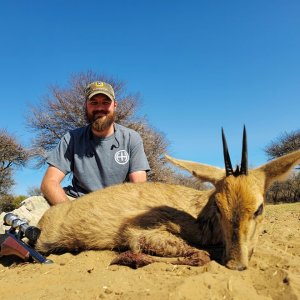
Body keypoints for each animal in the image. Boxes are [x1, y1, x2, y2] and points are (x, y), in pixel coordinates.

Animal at [35, 127, 300, 270]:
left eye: (259, 208)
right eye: (218, 206)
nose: (236, 264)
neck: (198, 214)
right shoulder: (139, 233)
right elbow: (201, 254)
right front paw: (123, 258)